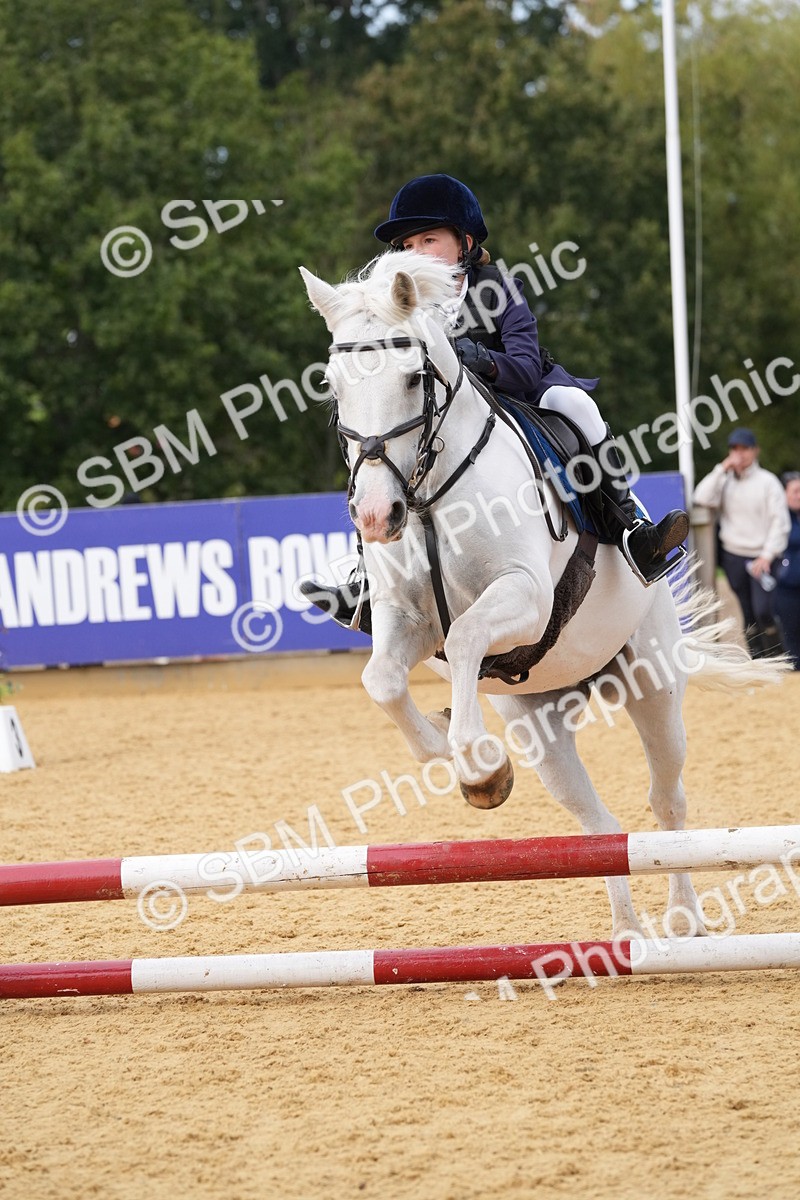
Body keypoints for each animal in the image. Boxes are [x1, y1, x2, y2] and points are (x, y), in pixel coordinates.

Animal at [300, 250, 786, 939]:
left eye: (413, 379)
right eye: (334, 386)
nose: (374, 516)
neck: (429, 499)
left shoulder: (527, 601)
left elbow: (467, 635)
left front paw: (477, 762)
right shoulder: (405, 620)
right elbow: (383, 680)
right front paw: (459, 756)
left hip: (652, 684)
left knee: (667, 802)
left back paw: (685, 918)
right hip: (543, 722)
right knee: (602, 828)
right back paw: (625, 935)